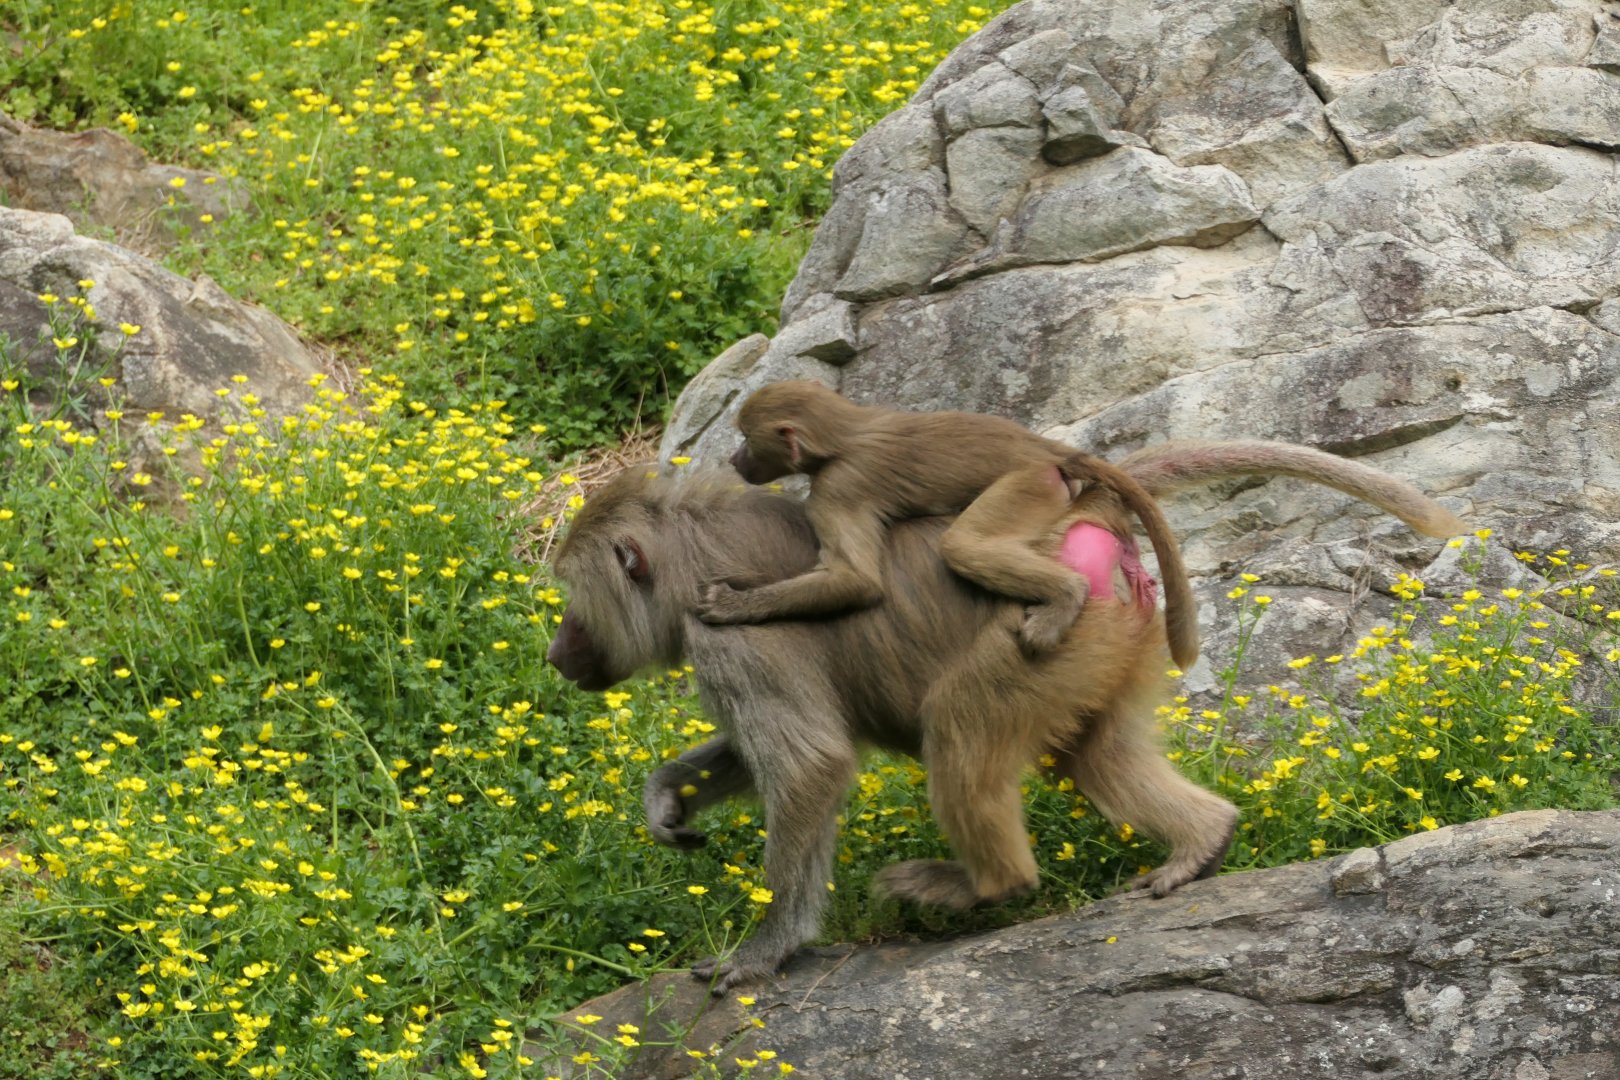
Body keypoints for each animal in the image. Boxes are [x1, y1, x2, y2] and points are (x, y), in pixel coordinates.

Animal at [546, 440, 1465, 993]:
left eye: (573, 603)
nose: (556, 654)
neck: (688, 555)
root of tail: (1085, 513)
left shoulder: (728, 632)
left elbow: (814, 764)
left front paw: (764, 954)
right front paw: (668, 799)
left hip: (1047, 631)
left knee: (959, 723)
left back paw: (985, 886)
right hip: (1109, 637)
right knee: (1095, 754)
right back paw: (1201, 842)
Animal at [694, 380, 1201, 667]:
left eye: (746, 438)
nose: (734, 459)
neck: (846, 433)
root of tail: (1043, 449)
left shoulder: (837, 487)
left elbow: (856, 581)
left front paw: (732, 605)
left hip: (1027, 486)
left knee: (962, 546)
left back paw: (1064, 596)